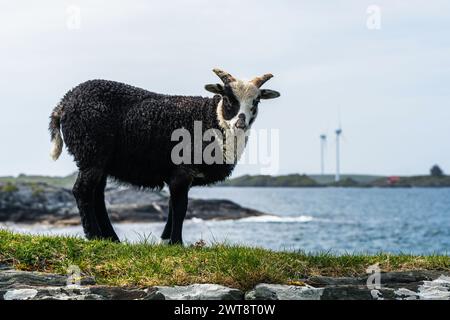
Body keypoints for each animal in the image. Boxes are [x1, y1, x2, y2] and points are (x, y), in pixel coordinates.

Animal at [50, 69, 282, 244]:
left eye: (256, 101)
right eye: (227, 98)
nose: (240, 123)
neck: (212, 119)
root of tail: (64, 102)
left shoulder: (178, 174)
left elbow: (172, 205)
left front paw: (165, 240)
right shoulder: (183, 170)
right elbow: (180, 207)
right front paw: (177, 243)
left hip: (97, 158)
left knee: (97, 194)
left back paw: (111, 238)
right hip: (91, 150)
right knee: (82, 191)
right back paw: (94, 236)